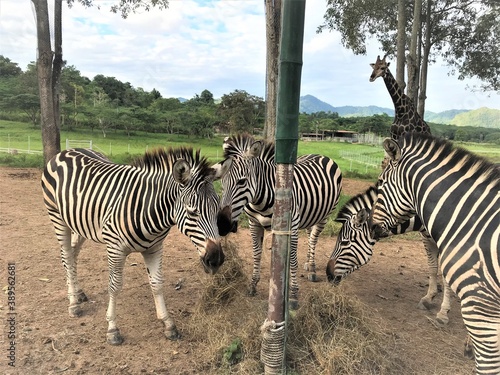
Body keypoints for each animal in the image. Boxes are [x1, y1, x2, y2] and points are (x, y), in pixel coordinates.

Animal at [41, 147, 225, 346]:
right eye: (192, 212)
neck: (148, 209)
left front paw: (168, 324)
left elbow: (157, 284)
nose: (216, 259)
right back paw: (73, 303)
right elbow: (114, 286)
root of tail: (68, 150)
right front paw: (112, 329)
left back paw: (78, 292)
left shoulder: (155, 248)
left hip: (81, 222)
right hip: (57, 218)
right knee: (67, 256)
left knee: (73, 253)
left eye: (218, 208)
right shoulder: (115, 248)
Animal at [213, 134, 342, 308]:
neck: (260, 201)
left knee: (313, 239)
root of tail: (320, 155)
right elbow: (257, 254)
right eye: (221, 181)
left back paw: (312, 268)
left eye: (242, 181)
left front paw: (293, 295)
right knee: (310, 234)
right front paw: (253, 285)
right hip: (310, 214)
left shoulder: (291, 226)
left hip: (325, 215)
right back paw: (308, 263)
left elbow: (292, 259)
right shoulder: (254, 223)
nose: (222, 224)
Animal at [326, 187, 456, 326]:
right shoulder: (426, 237)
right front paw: (428, 298)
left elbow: (446, 275)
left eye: (345, 242)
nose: (328, 274)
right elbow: (432, 268)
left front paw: (443, 313)